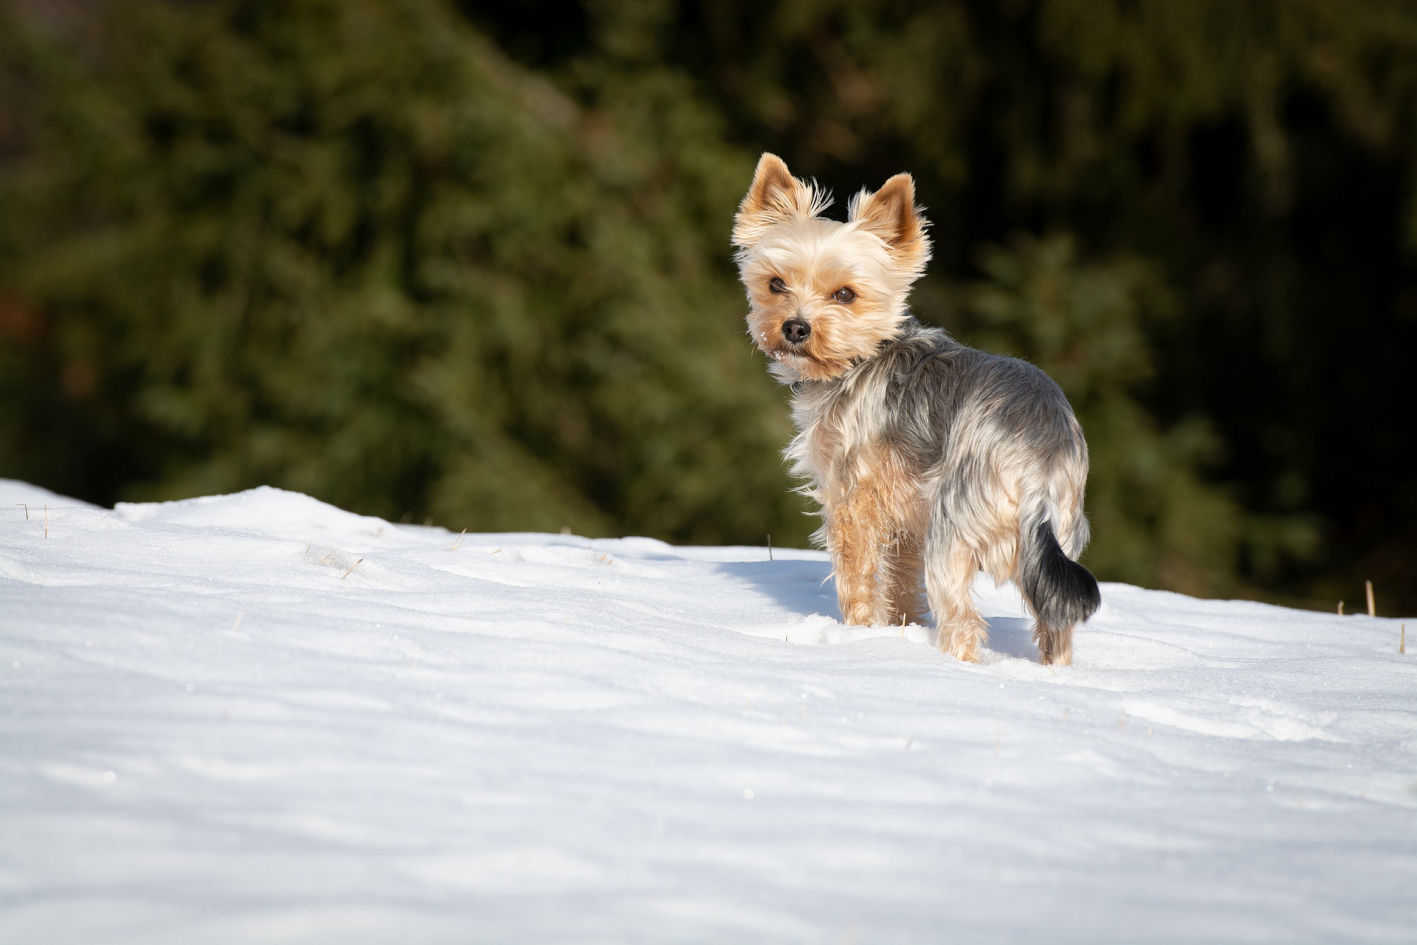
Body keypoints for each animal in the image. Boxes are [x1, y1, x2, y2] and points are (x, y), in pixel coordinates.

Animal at [736, 153, 1099, 665]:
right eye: (775, 284)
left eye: (845, 294)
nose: (794, 328)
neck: (860, 357)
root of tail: (1037, 465)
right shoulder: (906, 512)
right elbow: (901, 582)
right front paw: (899, 629)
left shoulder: (852, 498)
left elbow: (857, 577)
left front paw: (858, 633)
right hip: (1057, 537)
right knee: (1056, 625)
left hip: (952, 531)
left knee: (963, 619)